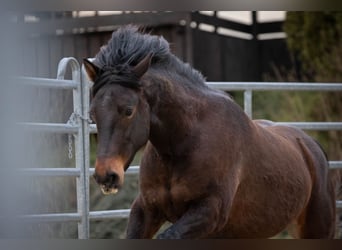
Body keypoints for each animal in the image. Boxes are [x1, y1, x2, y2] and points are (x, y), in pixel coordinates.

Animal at [83, 25, 336, 238]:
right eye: (92, 114)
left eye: (128, 110)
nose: (106, 176)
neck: (183, 144)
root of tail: (311, 146)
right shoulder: (146, 209)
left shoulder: (209, 212)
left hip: (317, 228)